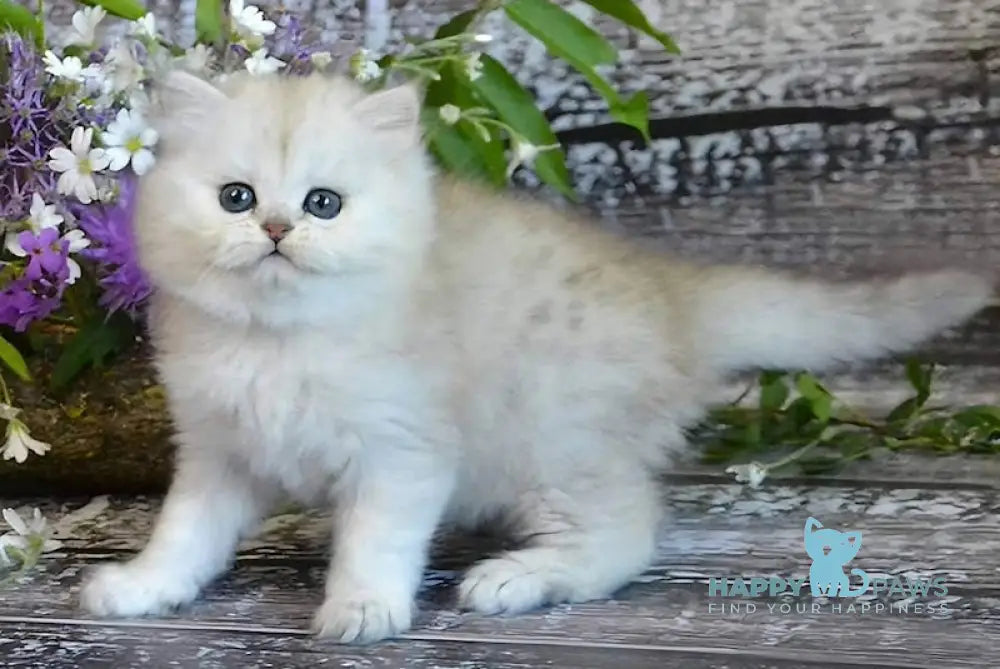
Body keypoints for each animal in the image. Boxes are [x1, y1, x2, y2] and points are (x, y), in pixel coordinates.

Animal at [78, 69, 992, 640]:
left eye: (323, 204)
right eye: (236, 197)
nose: (274, 228)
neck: (278, 340)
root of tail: (674, 294)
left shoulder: (403, 452)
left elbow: (375, 540)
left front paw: (364, 608)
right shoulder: (217, 452)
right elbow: (185, 535)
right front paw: (144, 586)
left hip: (553, 441)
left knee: (628, 534)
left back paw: (518, 577)